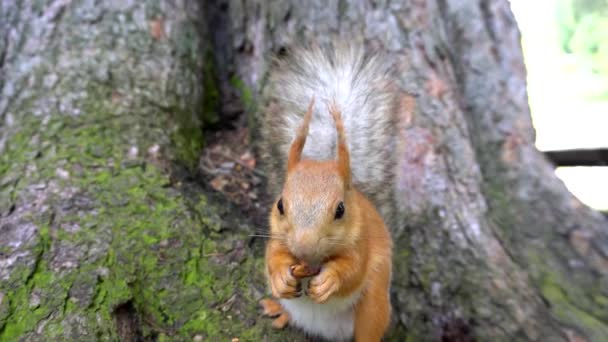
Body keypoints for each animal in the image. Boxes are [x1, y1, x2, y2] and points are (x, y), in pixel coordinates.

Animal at [258, 44, 396, 340]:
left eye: (340, 210)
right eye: (280, 205)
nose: (304, 247)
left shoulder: (362, 244)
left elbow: (352, 270)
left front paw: (329, 280)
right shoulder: (277, 237)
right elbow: (273, 255)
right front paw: (281, 276)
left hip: (374, 307)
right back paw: (279, 310)